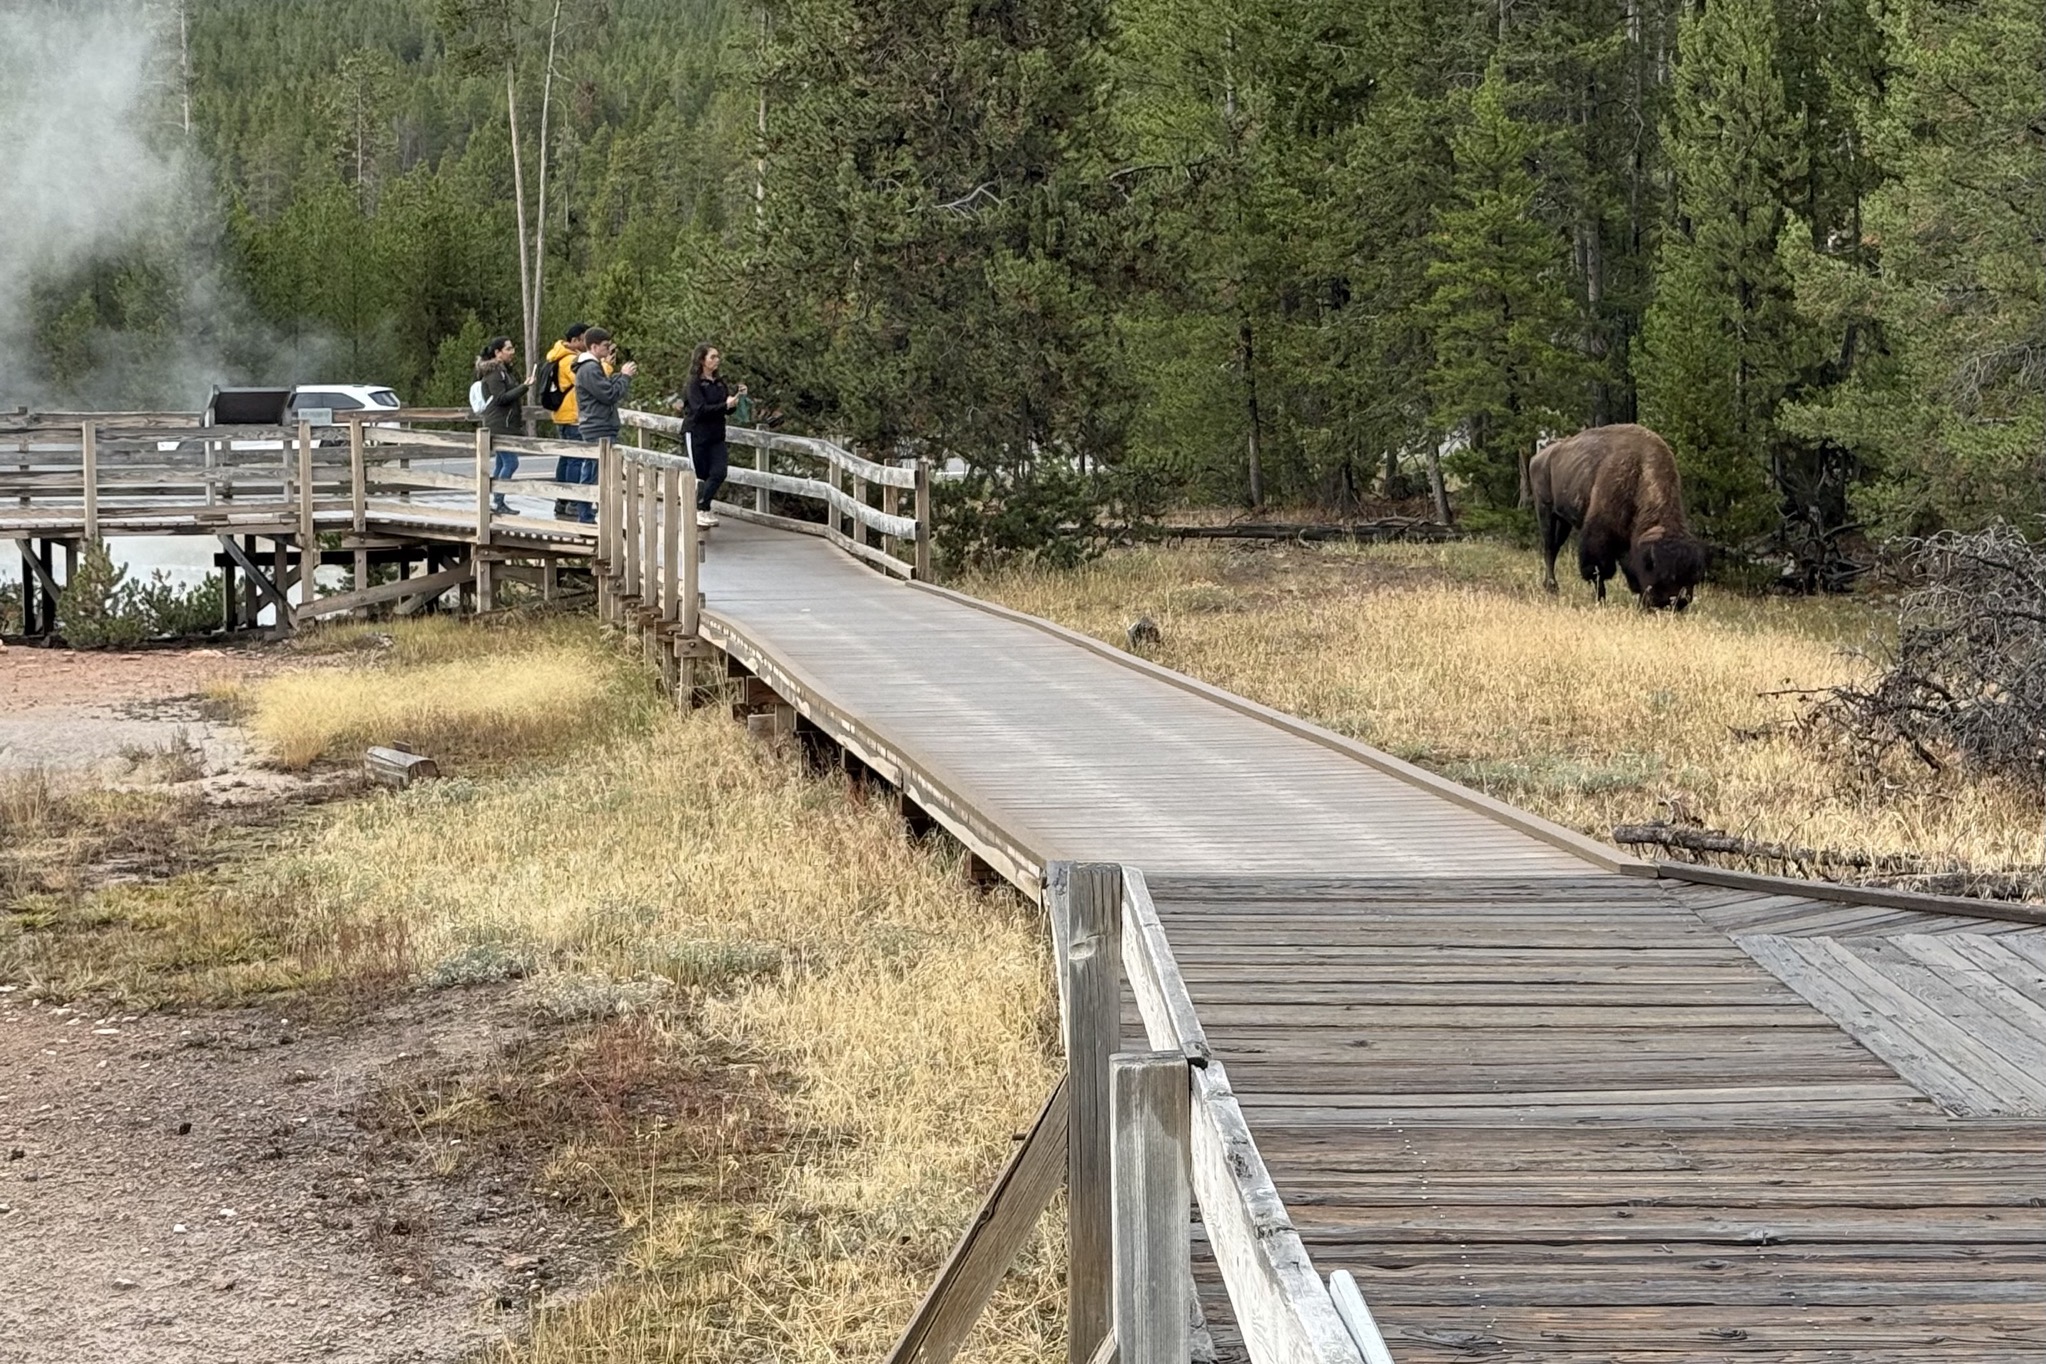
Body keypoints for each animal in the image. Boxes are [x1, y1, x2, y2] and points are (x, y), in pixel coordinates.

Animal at [1530, 423, 1707, 611]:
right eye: (1663, 574)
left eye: (1694, 578)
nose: (1677, 602)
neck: (1640, 473)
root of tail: (1539, 456)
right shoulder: (1599, 536)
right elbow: (1598, 571)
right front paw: (1600, 600)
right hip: (1546, 512)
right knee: (1550, 549)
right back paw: (1551, 587)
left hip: (1563, 520)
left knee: (1554, 547)